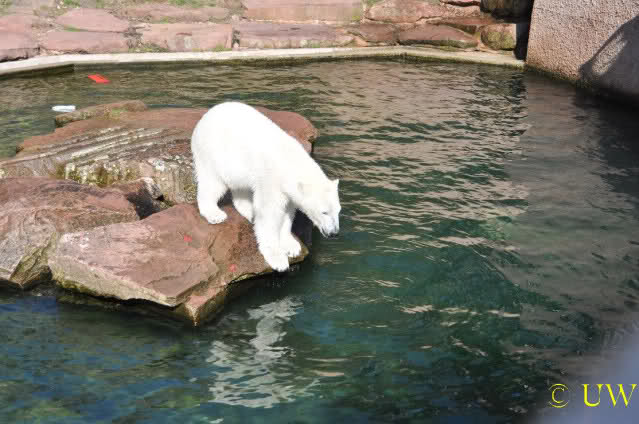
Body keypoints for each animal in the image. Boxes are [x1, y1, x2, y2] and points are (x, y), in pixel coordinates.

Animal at [191, 101, 341, 272]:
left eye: (338, 211)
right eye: (324, 212)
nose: (334, 233)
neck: (290, 161)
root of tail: (208, 113)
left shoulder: (287, 191)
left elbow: (287, 212)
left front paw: (291, 246)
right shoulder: (272, 180)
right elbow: (269, 213)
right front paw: (278, 259)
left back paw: (249, 211)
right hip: (213, 152)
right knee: (213, 183)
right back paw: (214, 214)